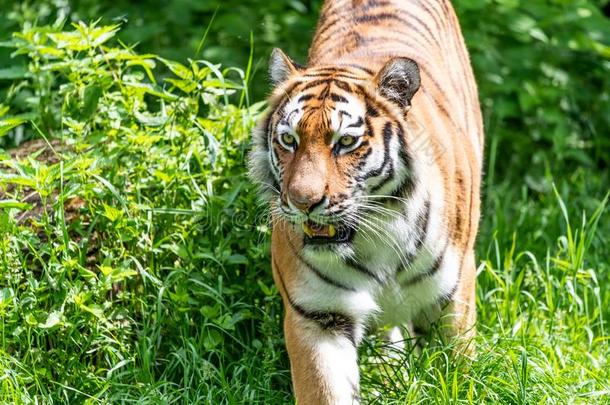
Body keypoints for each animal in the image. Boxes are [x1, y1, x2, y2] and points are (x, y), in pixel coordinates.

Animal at [246, 0, 480, 400]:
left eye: (345, 142)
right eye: (289, 140)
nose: (302, 201)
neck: (376, 238)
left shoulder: (450, 303)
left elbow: (458, 377)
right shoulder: (317, 314)